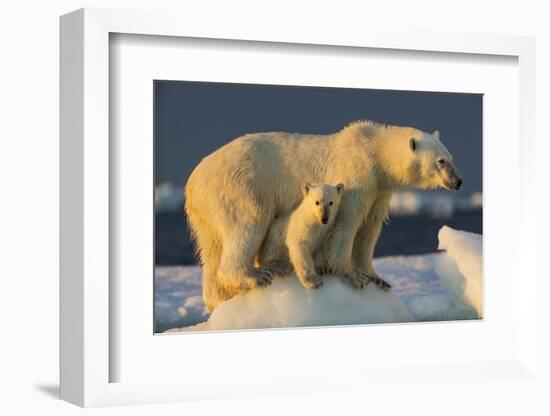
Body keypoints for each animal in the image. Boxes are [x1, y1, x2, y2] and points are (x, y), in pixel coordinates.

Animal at [188, 118, 464, 310]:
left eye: (451, 157)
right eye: (440, 161)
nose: (458, 181)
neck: (373, 151)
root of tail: (193, 182)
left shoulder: (379, 190)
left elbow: (369, 229)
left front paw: (377, 279)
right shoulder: (355, 177)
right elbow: (347, 223)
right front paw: (352, 276)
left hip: (207, 212)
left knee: (211, 249)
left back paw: (220, 298)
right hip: (241, 187)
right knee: (248, 224)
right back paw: (257, 276)